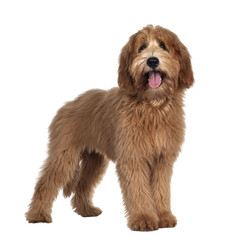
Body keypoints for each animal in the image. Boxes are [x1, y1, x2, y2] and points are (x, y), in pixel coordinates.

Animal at [25, 24, 193, 231]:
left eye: (163, 45)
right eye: (141, 47)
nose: (152, 60)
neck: (152, 106)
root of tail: (67, 105)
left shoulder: (162, 159)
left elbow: (161, 190)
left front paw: (164, 216)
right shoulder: (133, 157)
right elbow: (138, 190)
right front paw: (144, 218)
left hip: (94, 160)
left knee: (82, 185)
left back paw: (86, 210)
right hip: (64, 155)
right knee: (45, 183)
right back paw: (37, 214)